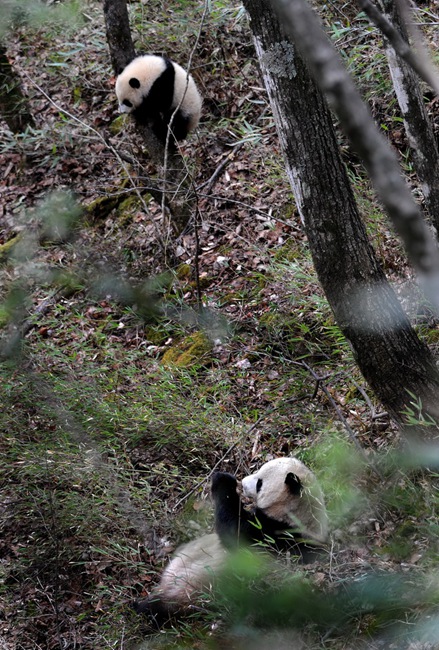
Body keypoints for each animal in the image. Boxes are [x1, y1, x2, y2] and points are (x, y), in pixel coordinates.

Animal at [134, 454, 330, 620]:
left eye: (259, 483)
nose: (242, 482)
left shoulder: (277, 534)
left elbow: (233, 531)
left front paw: (224, 480)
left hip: (194, 589)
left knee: (168, 603)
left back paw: (145, 607)